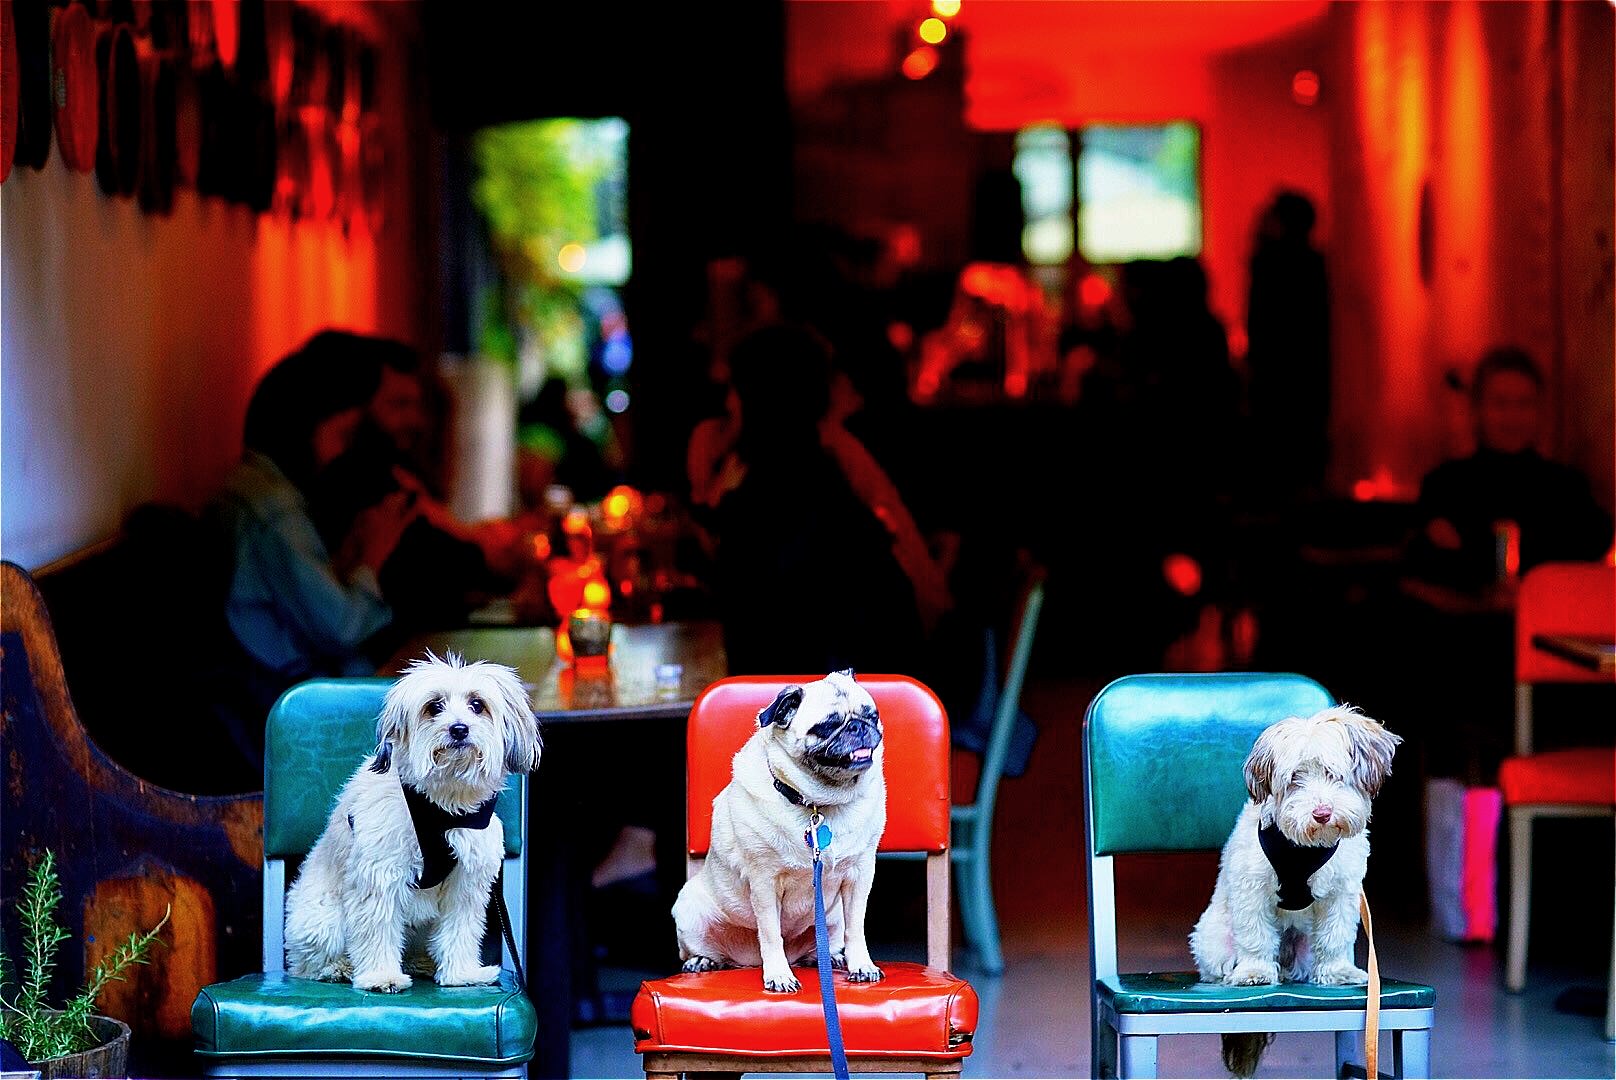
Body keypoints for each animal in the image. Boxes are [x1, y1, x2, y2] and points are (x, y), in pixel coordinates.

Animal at [284, 653, 542, 989]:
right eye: (434, 707)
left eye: (477, 705)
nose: (459, 729)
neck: (442, 808)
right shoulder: (381, 873)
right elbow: (377, 927)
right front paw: (381, 976)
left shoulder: (467, 881)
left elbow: (460, 929)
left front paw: (461, 973)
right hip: (323, 919)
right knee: (309, 964)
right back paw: (340, 968)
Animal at [1189, 708, 1402, 1073]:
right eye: (1294, 779)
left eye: (1334, 774)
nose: (1322, 813)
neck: (1305, 848)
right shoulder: (1251, 886)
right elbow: (1256, 934)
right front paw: (1255, 972)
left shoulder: (1343, 890)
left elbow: (1335, 935)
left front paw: (1337, 971)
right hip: (1213, 940)